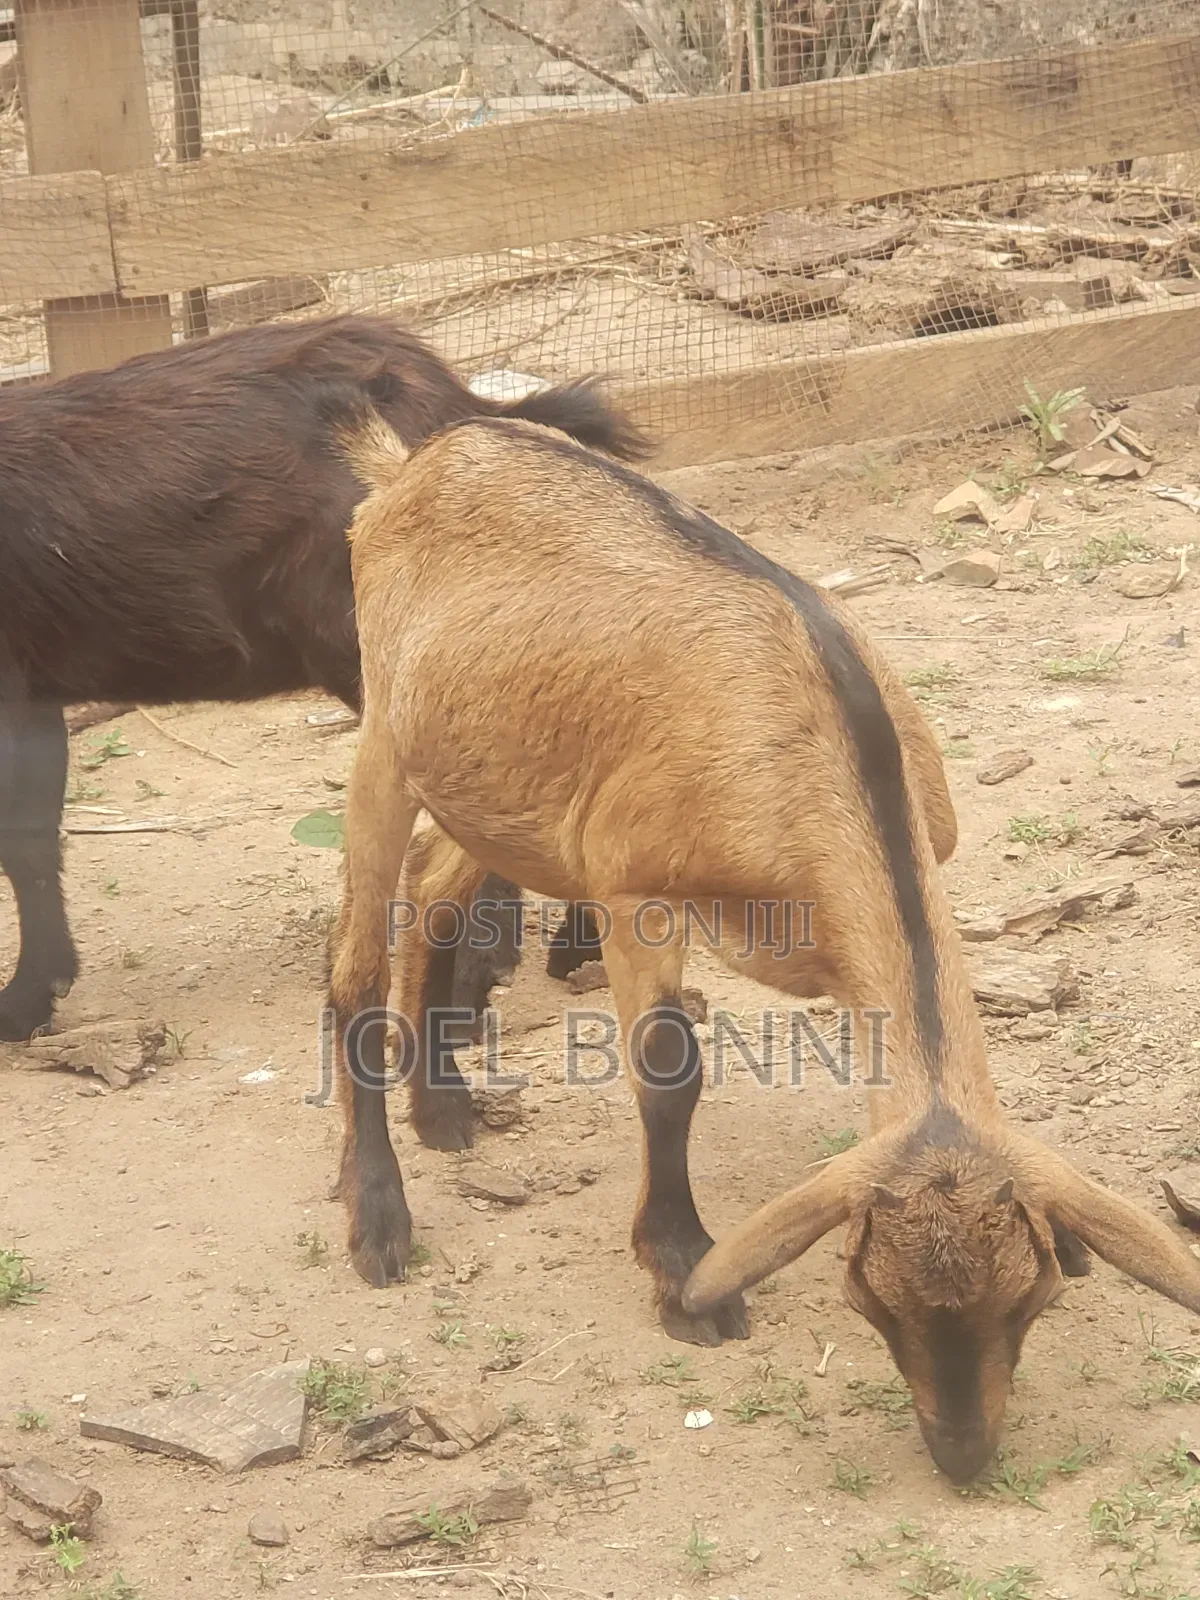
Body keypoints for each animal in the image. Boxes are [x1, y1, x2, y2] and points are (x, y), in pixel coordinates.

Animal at [325, 396, 1200, 1483]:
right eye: (873, 1300)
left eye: (1030, 1300)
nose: (961, 1454)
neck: (823, 747)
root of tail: (420, 463)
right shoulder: (634, 887)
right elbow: (669, 1074)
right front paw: (683, 1272)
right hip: (383, 742)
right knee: (354, 962)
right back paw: (378, 1215)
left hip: (490, 779)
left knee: (437, 886)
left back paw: (442, 1108)